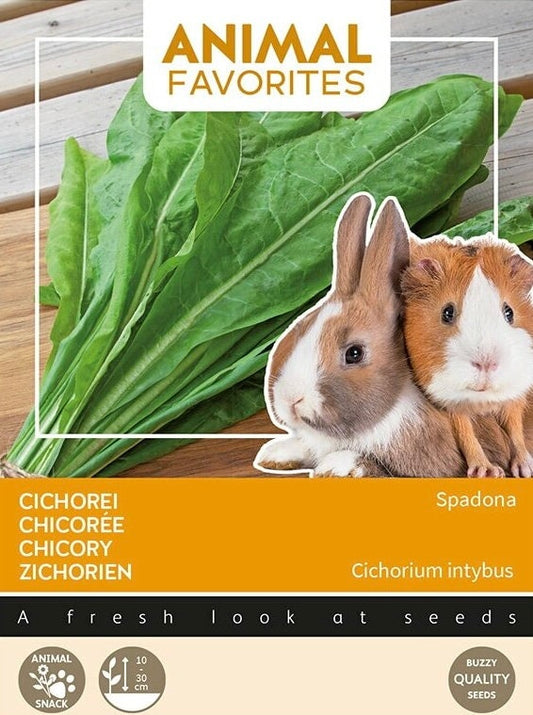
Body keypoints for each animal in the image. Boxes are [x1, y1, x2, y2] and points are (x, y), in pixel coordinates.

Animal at [254, 193, 511, 478]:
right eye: (299, 329)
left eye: (354, 353)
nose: (291, 400)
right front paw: (274, 454)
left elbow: (370, 464)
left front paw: (332, 468)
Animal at [401, 233, 533, 478]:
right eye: (447, 312)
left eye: (509, 312)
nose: (486, 363)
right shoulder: (449, 403)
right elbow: (465, 432)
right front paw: (487, 471)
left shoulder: (514, 394)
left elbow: (514, 427)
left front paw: (524, 469)